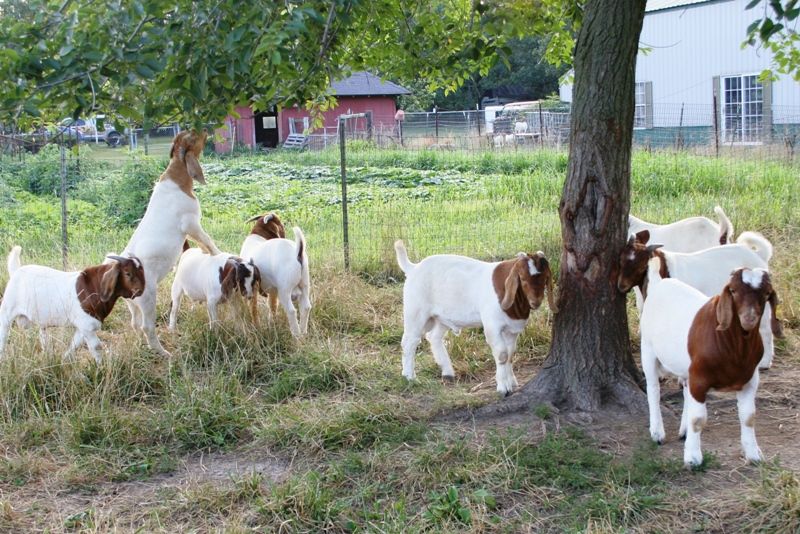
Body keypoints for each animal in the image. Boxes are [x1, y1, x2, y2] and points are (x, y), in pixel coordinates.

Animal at [0, 246, 145, 363]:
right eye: (127, 273)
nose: (141, 290)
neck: (93, 287)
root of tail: (16, 271)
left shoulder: (84, 327)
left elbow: (75, 344)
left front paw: (63, 360)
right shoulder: (86, 325)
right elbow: (96, 346)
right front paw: (101, 368)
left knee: (42, 335)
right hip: (7, 311)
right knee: (4, 332)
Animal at [121, 131, 220, 357]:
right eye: (193, 136)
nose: (205, 130)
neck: (177, 177)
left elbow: (201, 243)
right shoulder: (191, 223)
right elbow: (207, 240)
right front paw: (216, 253)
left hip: (133, 304)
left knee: (134, 323)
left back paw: (142, 346)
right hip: (148, 298)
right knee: (147, 326)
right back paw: (163, 352)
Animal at [395, 241, 557, 396]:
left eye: (545, 278)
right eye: (522, 278)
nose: (536, 302)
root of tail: (413, 268)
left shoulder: (512, 329)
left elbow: (510, 354)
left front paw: (512, 382)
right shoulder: (492, 326)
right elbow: (502, 354)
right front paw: (503, 387)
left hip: (442, 317)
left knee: (433, 337)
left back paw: (447, 372)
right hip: (415, 311)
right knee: (409, 341)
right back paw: (409, 377)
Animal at [640, 258, 783, 466]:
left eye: (766, 293)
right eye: (733, 290)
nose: (749, 318)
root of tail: (660, 283)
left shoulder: (750, 379)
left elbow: (749, 417)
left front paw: (754, 455)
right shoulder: (700, 378)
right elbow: (698, 419)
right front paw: (692, 458)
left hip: (686, 368)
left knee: (685, 391)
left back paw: (683, 431)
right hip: (648, 349)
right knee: (653, 389)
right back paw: (657, 433)